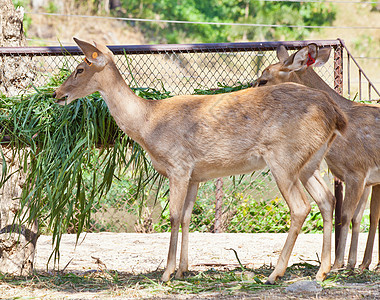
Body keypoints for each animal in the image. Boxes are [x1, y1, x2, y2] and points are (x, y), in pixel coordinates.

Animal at [53, 37, 348, 284]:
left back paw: (274, 274)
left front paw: (167, 273)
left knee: (300, 206)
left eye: (80, 68)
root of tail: (334, 115)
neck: (147, 123)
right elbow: (186, 217)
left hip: (283, 158)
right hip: (309, 162)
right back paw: (322, 271)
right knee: (326, 199)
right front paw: (183, 269)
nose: (56, 94)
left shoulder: (178, 165)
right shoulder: (196, 174)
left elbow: (173, 215)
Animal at [252, 44, 380, 272]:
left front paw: (338, 264)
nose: (250, 89)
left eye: (264, 79)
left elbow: (345, 215)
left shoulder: (357, 171)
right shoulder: (361, 179)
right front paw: (352, 263)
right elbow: (358, 216)